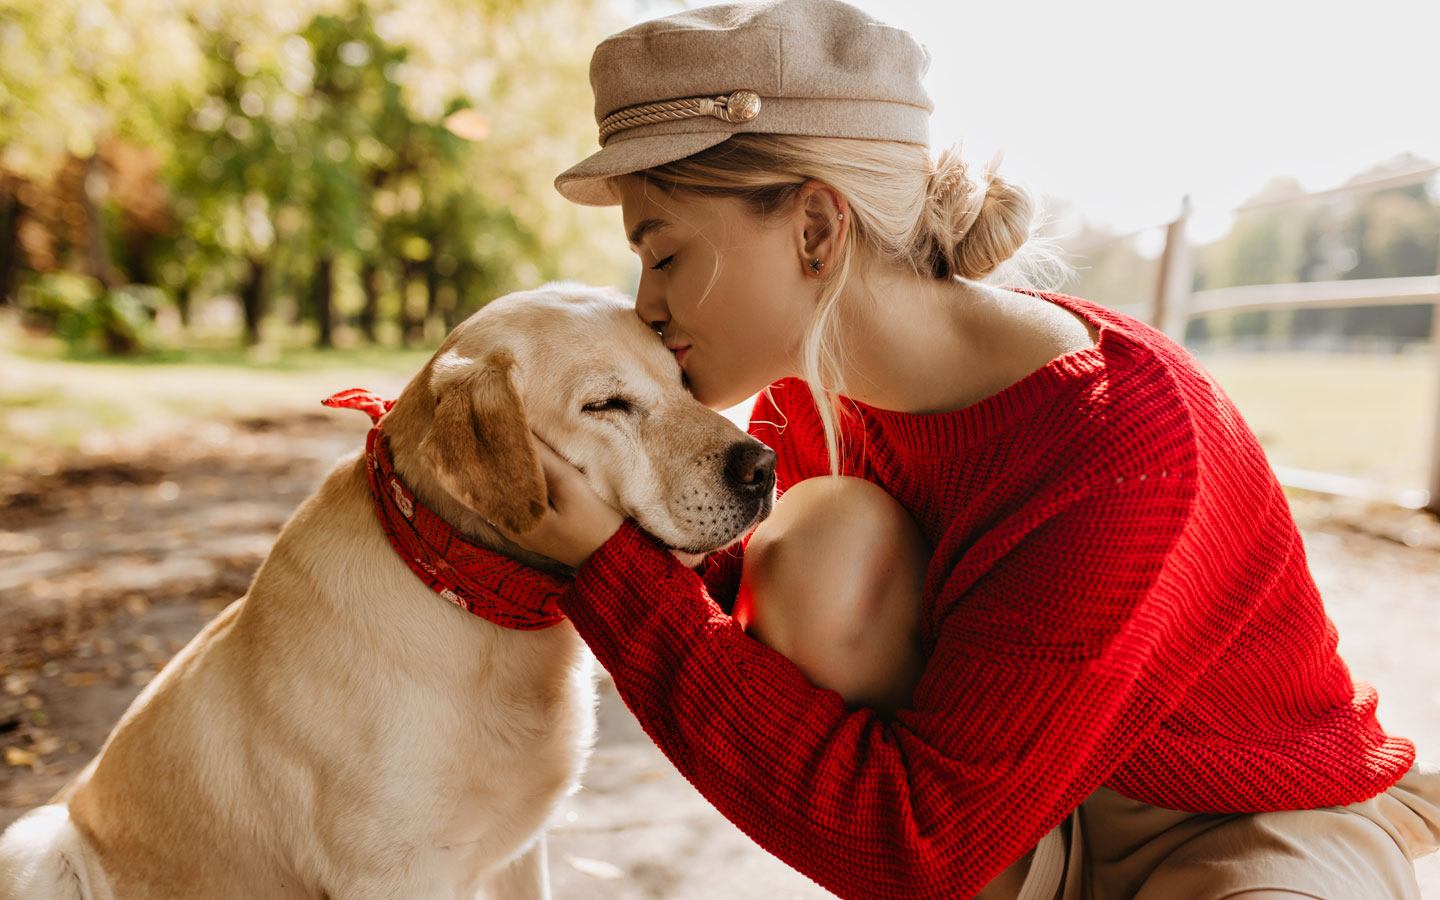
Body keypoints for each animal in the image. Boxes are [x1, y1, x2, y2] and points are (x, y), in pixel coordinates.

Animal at [2, 282, 777, 898]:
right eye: (606, 404)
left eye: (682, 379)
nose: (764, 465)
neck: (472, 596)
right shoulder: (391, 876)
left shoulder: (521, 854)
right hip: (40, 842)